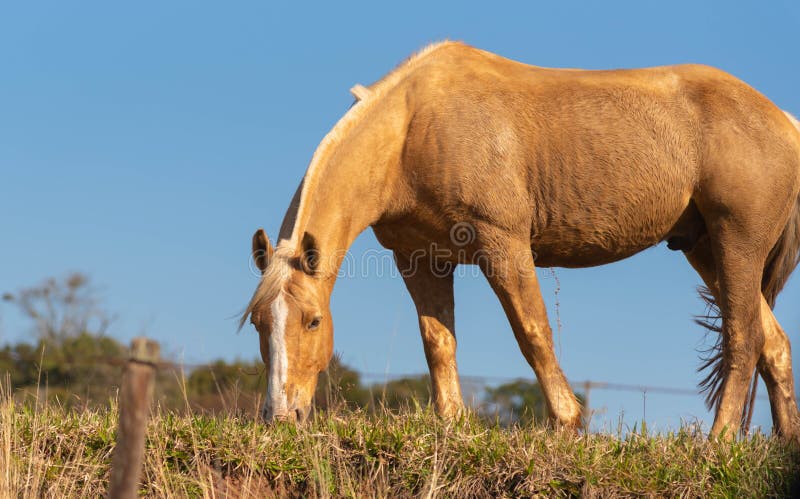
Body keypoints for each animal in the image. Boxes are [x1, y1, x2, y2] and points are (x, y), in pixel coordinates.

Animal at [242, 43, 800, 442]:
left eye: (313, 321)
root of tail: (784, 122)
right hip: (705, 249)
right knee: (773, 343)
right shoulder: (420, 259)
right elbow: (437, 341)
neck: (411, 131)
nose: (281, 417)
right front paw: (452, 426)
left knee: (744, 338)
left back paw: (718, 442)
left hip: (737, 245)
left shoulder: (502, 243)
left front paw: (567, 421)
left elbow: (532, 330)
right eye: (259, 324)